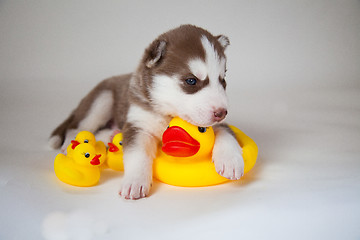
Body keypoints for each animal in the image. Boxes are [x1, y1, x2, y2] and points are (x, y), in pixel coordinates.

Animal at [50, 24, 245, 199]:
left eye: (222, 80)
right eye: (191, 80)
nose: (221, 112)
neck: (167, 114)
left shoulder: (215, 123)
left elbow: (226, 132)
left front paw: (231, 160)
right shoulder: (138, 125)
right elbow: (138, 154)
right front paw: (135, 182)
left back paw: (110, 134)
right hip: (101, 100)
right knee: (76, 126)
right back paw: (69, 142)